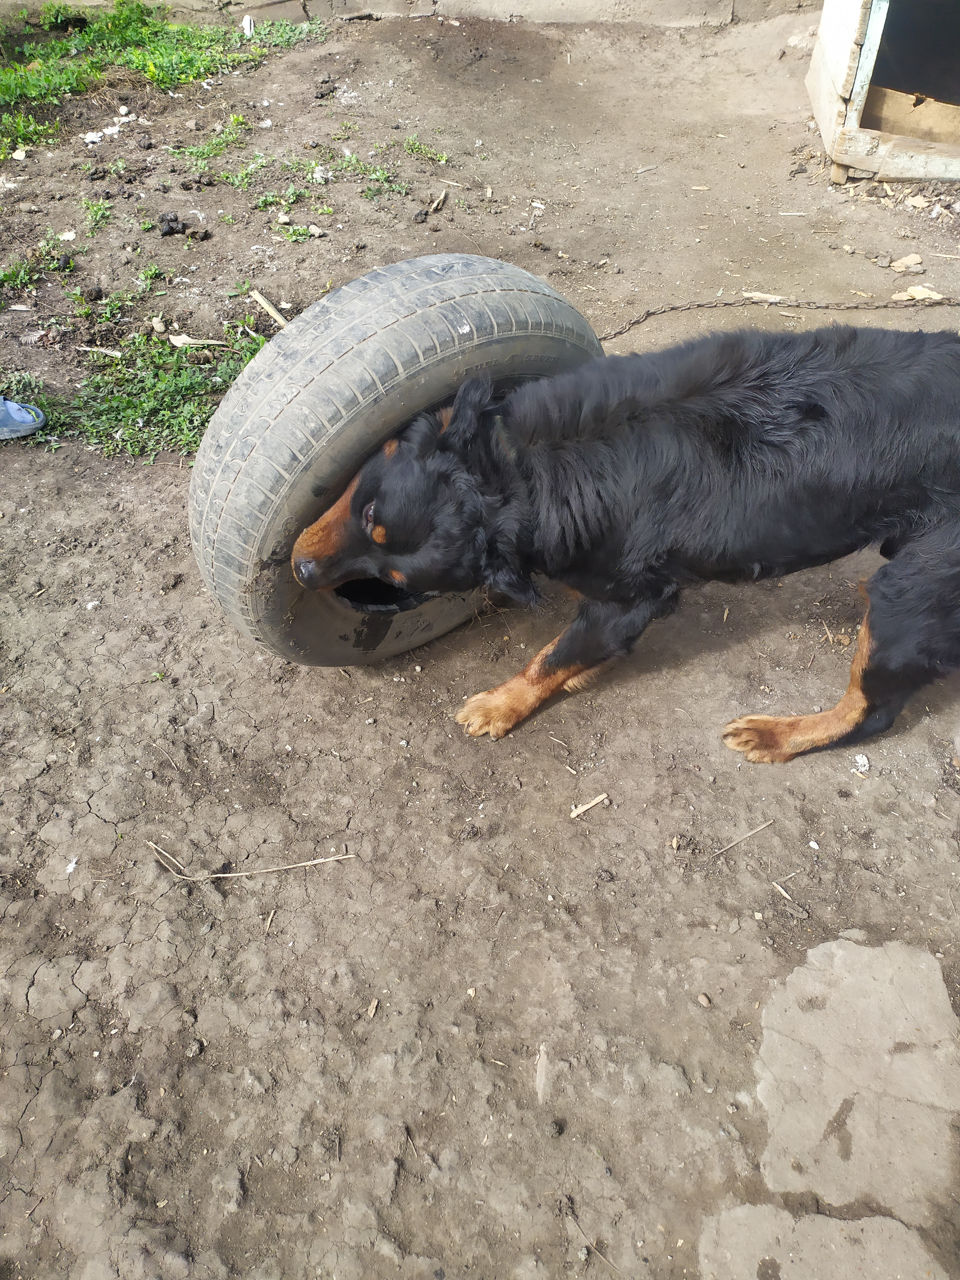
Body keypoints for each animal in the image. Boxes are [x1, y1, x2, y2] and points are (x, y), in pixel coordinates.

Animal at [291, 327, 960, 757]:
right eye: (367, 509)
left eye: (394, 579)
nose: (299, 571)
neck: (523, 474)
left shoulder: (632, 598)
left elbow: (551, 655)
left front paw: (501, 705)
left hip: (914, 587)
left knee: (872, 710)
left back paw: (778, 735)